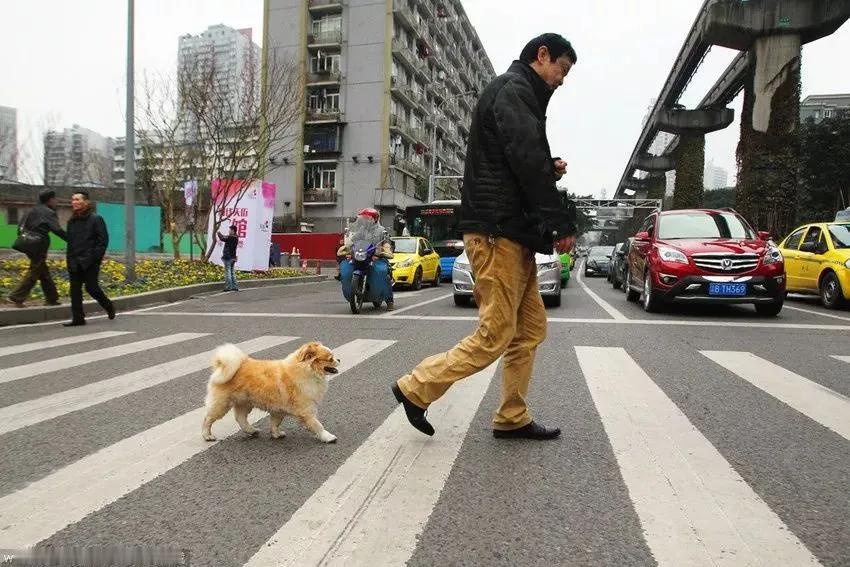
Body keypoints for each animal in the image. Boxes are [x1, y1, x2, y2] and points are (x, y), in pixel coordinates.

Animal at [201, 342, 338, 444]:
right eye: (330, 359)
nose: (339, 359)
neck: (306, 371)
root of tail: (223, 367)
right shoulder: (305, 410)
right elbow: (317, 425)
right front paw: (328, 437)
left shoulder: (279, 410)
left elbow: (275, 423)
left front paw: (276, 434)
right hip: (222, 404)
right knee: (208, 419)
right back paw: (207, 435)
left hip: (245, 403)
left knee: (240, 418)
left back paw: (251, 430)